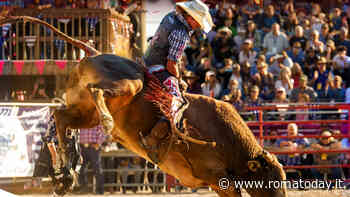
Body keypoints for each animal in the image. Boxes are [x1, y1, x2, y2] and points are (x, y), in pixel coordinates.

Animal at [1, 16, 288, 197]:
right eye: (271, 181)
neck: (228, 141)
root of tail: (94, 52)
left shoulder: (218, 183)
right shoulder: (219, 179)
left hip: (84, 112)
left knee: (61, 117)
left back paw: (65, 173)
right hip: (127, 85)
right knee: (94, 95)